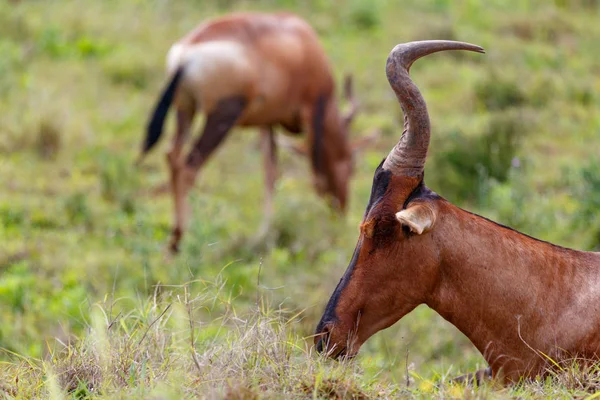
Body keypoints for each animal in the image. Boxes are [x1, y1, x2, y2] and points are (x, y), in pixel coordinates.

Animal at [140, 12, 366, 252]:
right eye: (351, 164)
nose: (340, 211)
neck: (303, 41)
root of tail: (185, 56)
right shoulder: (313, 109)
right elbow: (315, 172)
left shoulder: (266, 123)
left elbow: (270, 173)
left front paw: (264, 233)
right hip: (221, 116)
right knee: (189, 166)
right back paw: (180, 239)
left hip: (184, 109)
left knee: (172, 155)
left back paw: (172, 241)